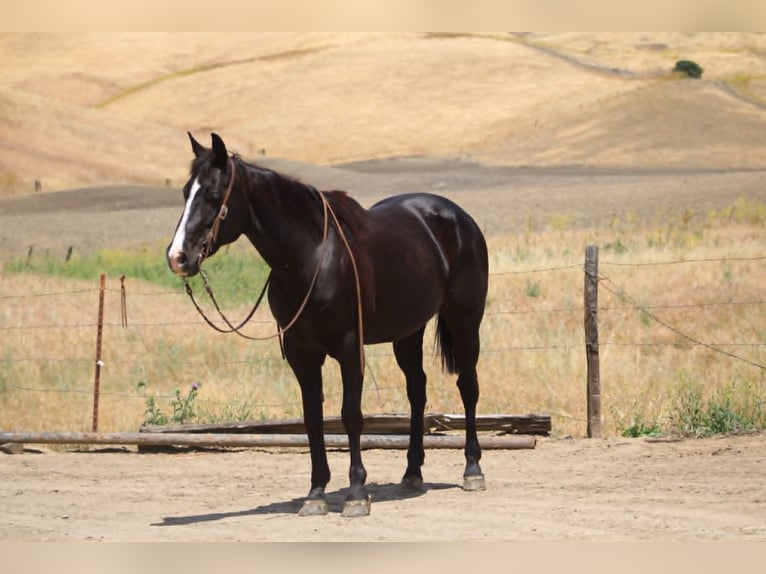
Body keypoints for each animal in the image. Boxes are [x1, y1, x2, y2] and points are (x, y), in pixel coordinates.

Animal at [167, 132, 489, 517]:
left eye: (214, 195)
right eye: (185, 191)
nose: (178, 257)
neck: (311, 258)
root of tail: (459, 217)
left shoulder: (349, 347)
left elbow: (351, 414)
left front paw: (356, 493)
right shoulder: (301, 353)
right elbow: (312, 418)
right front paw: (316, 493)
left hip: (465, 320)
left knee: (468, 386)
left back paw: (473, 470)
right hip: (408, 332)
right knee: (417, 391)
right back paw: (412, 473)